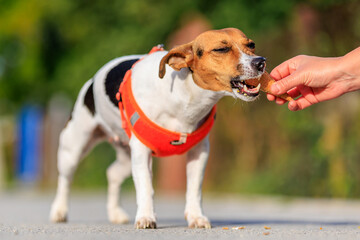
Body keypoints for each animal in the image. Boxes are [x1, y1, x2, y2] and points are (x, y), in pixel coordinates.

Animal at [49, 27, 266, 229]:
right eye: (221, 49)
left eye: (251, 45)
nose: (260, 62)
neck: (184, 95)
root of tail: (92, 81)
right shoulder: (141, 153)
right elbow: (146, 187)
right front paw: (146, 217)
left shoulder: (199, 152)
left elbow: (194, 189)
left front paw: (196, 217)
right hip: (73, 149)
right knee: (65, 180)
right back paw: (59, 211)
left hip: (126, 156)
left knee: (112, 174)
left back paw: (115, 212)